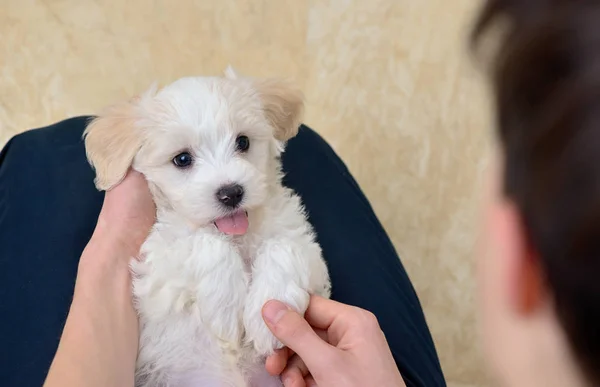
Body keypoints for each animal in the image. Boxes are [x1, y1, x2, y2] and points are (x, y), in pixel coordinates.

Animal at [82, 69, 330, 387]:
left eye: (243, 142)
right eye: (182, 159)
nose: (231, 193)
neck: (236, 235)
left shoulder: (306, 247)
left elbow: (284, 245)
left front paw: (268, 310)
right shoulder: (154, 271)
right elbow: (204, 243)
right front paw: (227, 308)